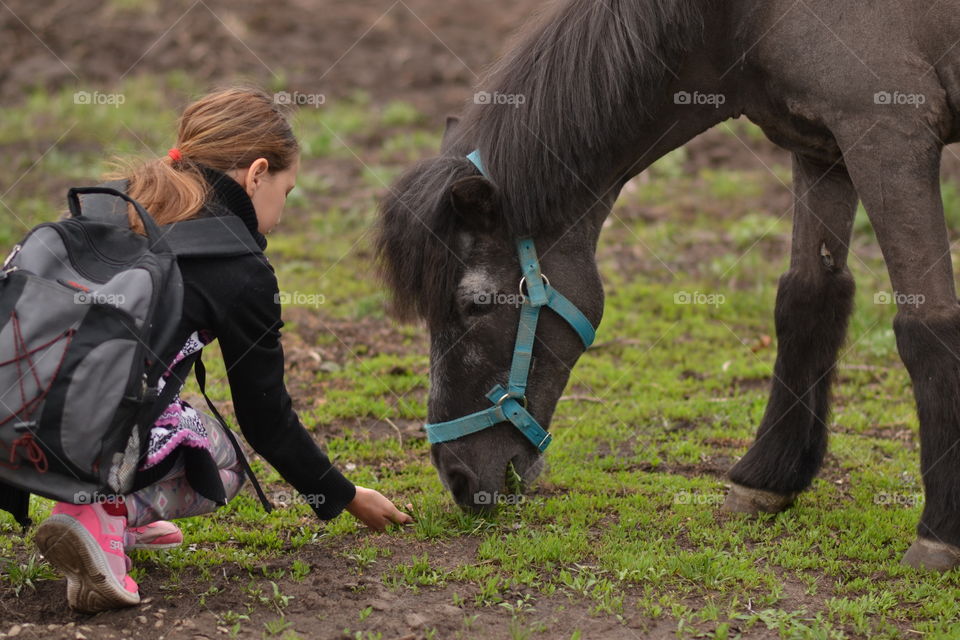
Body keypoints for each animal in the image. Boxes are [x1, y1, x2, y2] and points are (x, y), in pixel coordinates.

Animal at [375, 0, 960, 571]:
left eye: (475, 304)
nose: (456, 477)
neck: (745, 15)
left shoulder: (889, 137)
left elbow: (927, 327)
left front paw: (939, 535)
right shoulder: (820, 149)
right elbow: (807, 299)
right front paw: (768, 479)